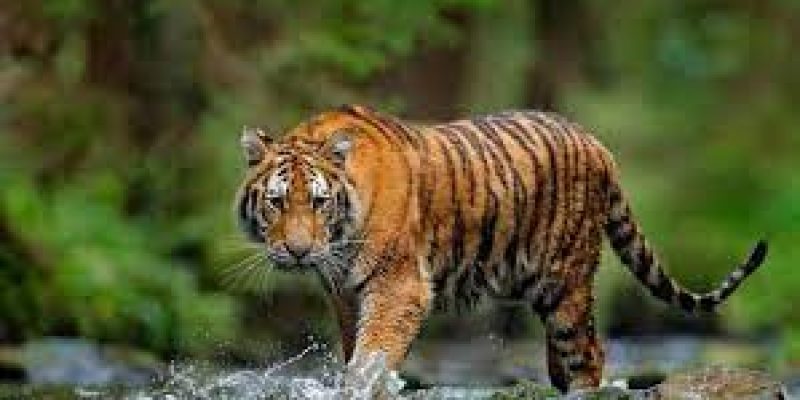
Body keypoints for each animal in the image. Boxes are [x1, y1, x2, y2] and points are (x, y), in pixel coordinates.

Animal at [234, 104, 767, 392]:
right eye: (277, 203)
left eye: (318, 202)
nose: (298, 251)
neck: (341, 240)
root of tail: (597, 143)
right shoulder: (345, 293)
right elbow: (357, 351)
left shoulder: (399, 287)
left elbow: (372, 357)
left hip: (565, 283)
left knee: (588, 356)